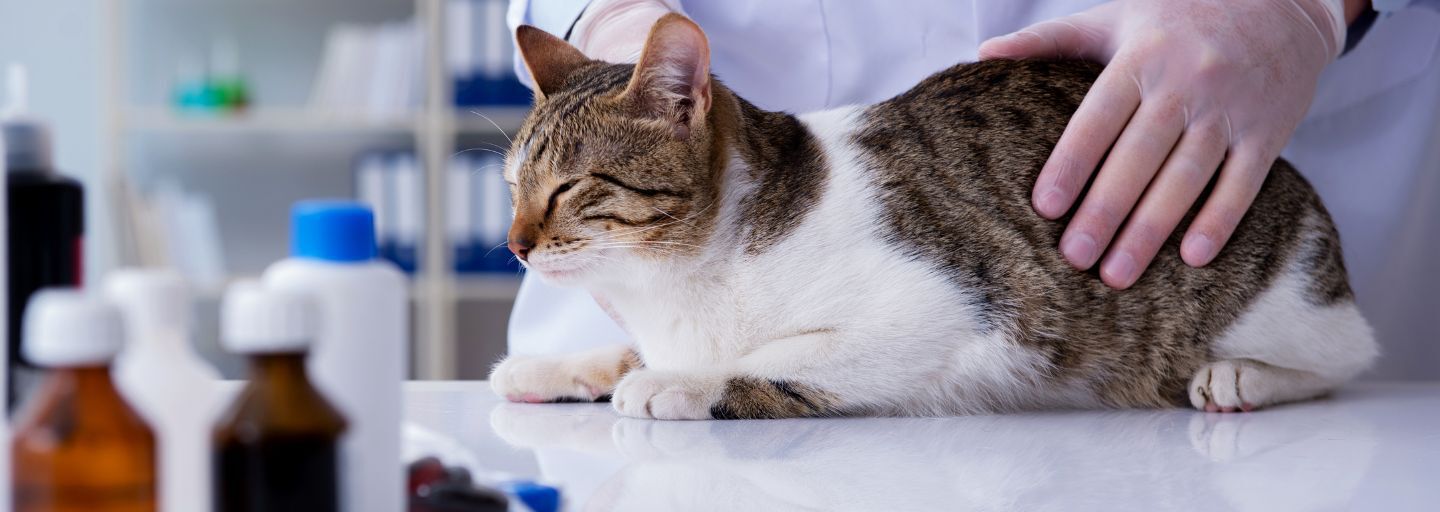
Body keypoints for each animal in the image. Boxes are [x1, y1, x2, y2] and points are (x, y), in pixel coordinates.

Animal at [489, 14, 1376, 419]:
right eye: (512, 186)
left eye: (567, 188)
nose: (515, 244)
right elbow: (634, 348)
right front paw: (563, 366)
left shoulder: (969, 309)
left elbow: (764, 357)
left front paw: (678, 381)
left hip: (1271, 297)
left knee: (1351, 355)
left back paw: (1241, 376)